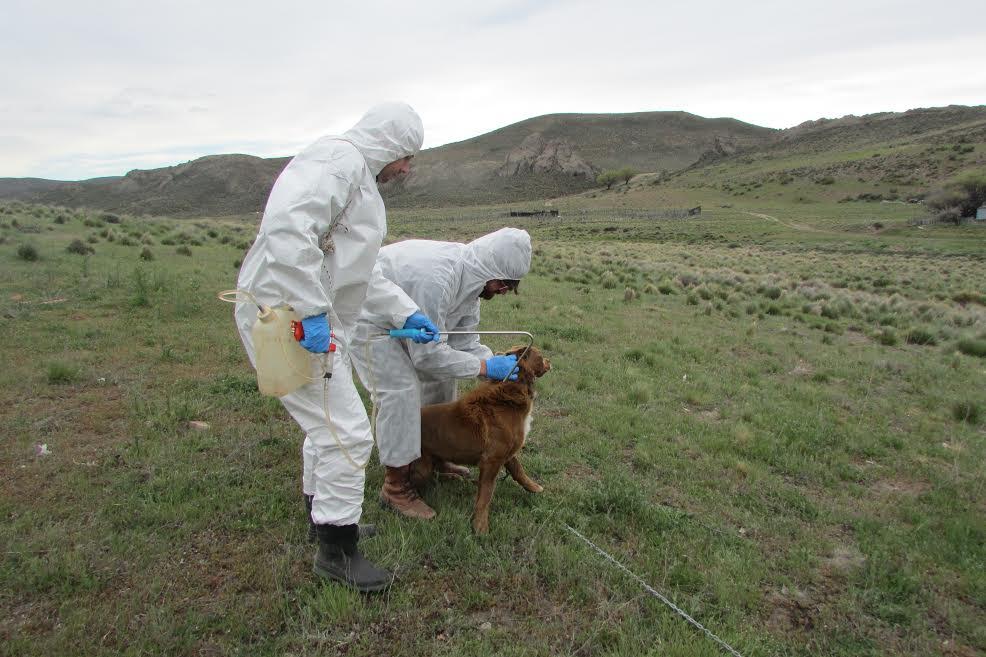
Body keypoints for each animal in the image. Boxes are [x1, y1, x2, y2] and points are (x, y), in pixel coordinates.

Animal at [412, 344, 548, 532]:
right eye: (540, 356)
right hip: (421, 466)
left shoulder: (507, 452)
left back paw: (453, 477)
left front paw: (533, 487)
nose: (549, 361)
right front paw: (480, 526)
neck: (510, 391)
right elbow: (486, 494)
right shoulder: (492, 460)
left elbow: (518, 470)